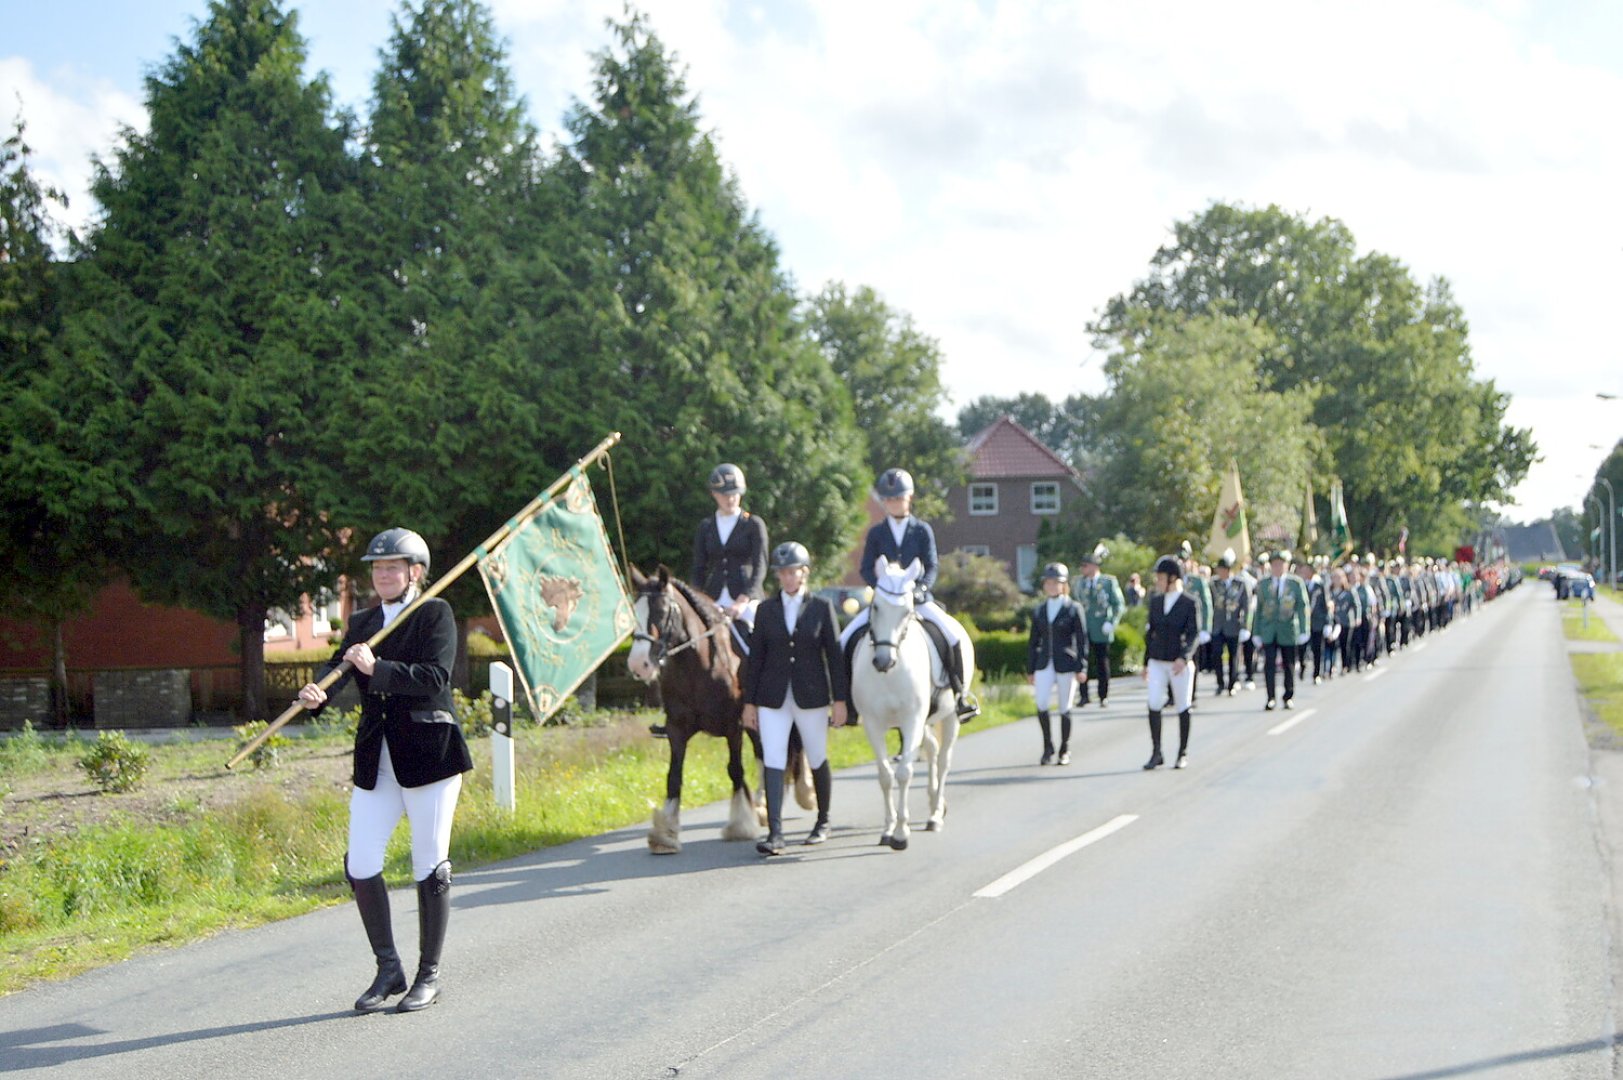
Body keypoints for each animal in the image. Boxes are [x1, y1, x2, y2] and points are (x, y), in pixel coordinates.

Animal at [843, 555, 967, 851]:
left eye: (907, 609)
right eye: (875, 606)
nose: (883, 661)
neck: (891, 672)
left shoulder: (912, 719)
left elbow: (904, 773)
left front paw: (901, 834)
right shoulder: (874, 724)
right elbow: (885, 775)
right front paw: (888, 829)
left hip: (950, 717)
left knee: (943, 760)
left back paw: (935, 816)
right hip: (925, 720)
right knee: (932, 751)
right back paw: (934, 804)